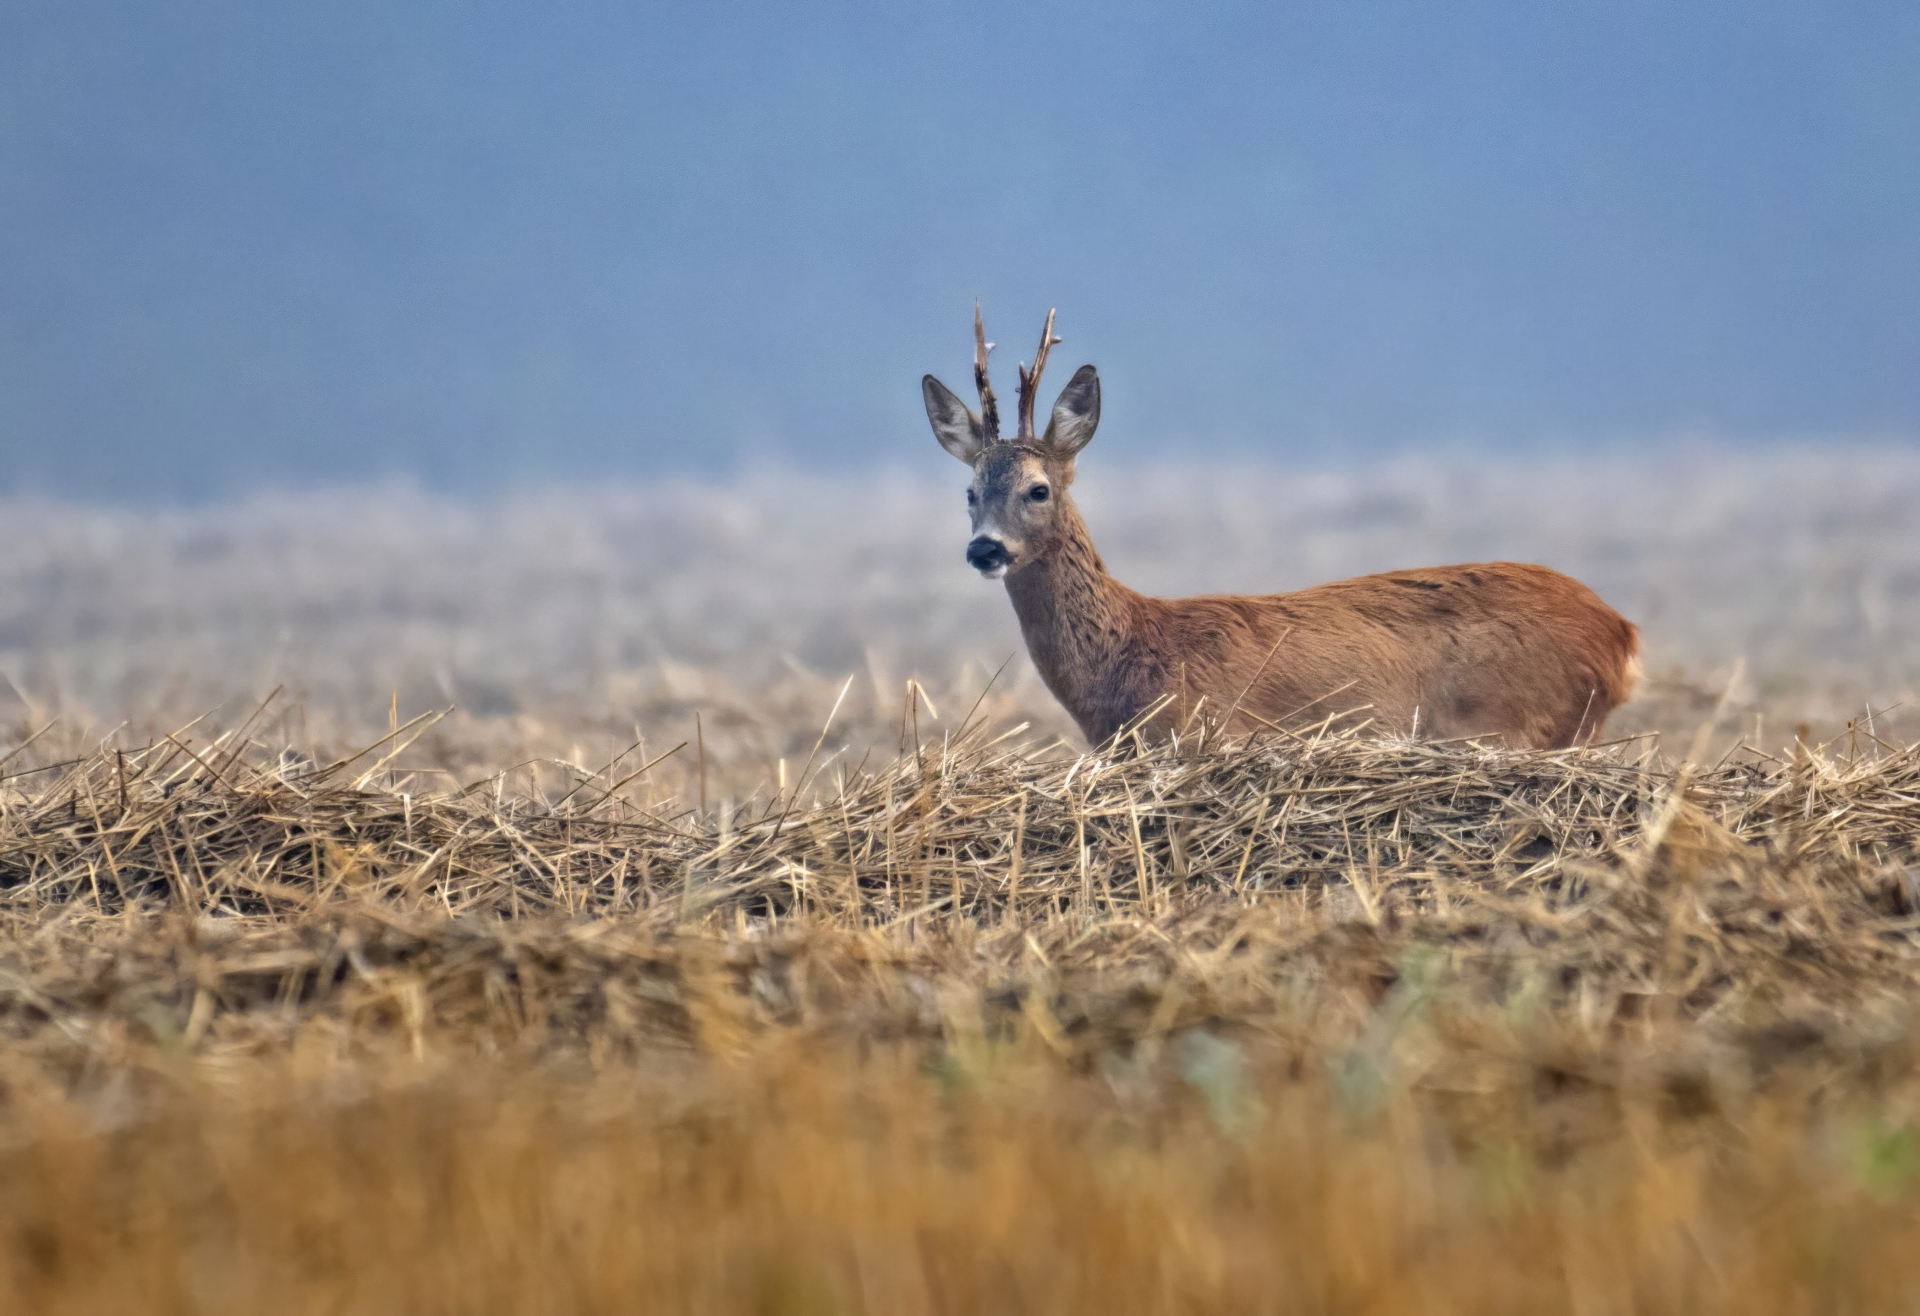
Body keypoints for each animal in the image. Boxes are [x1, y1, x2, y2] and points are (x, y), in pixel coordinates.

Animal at [921, 301, 1643, 745]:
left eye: (1038, 489)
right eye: (969, 491)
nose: (984, 550)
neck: (1133, 658)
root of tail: (1621, 635)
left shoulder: (1207, 733)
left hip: (1521, 721)